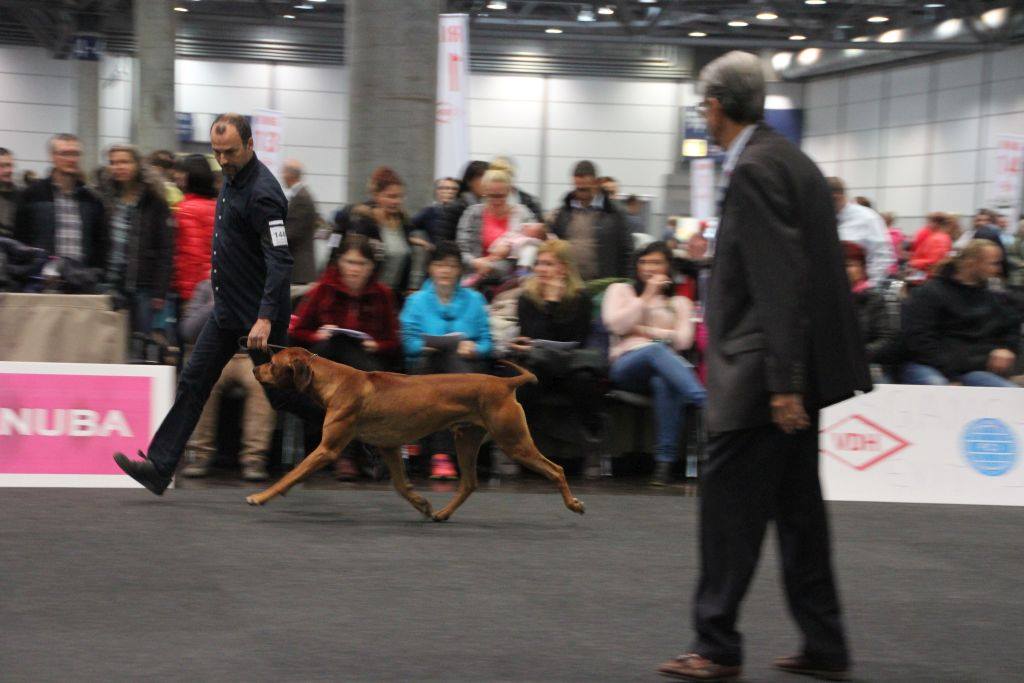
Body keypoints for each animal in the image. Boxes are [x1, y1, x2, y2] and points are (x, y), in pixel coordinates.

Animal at [245, 350, 585, 520]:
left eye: (271, 363)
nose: (253, 370)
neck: (335, 380)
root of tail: (505, 383)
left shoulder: (328, 448)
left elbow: (290, 474)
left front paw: (260, 496)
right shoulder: (389, 446)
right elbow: (400, 485)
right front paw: (422, 503)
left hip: (514, 442)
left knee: (557, 469)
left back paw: (574, 504)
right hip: (466, 438)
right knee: (469, 483)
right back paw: (442, 514)